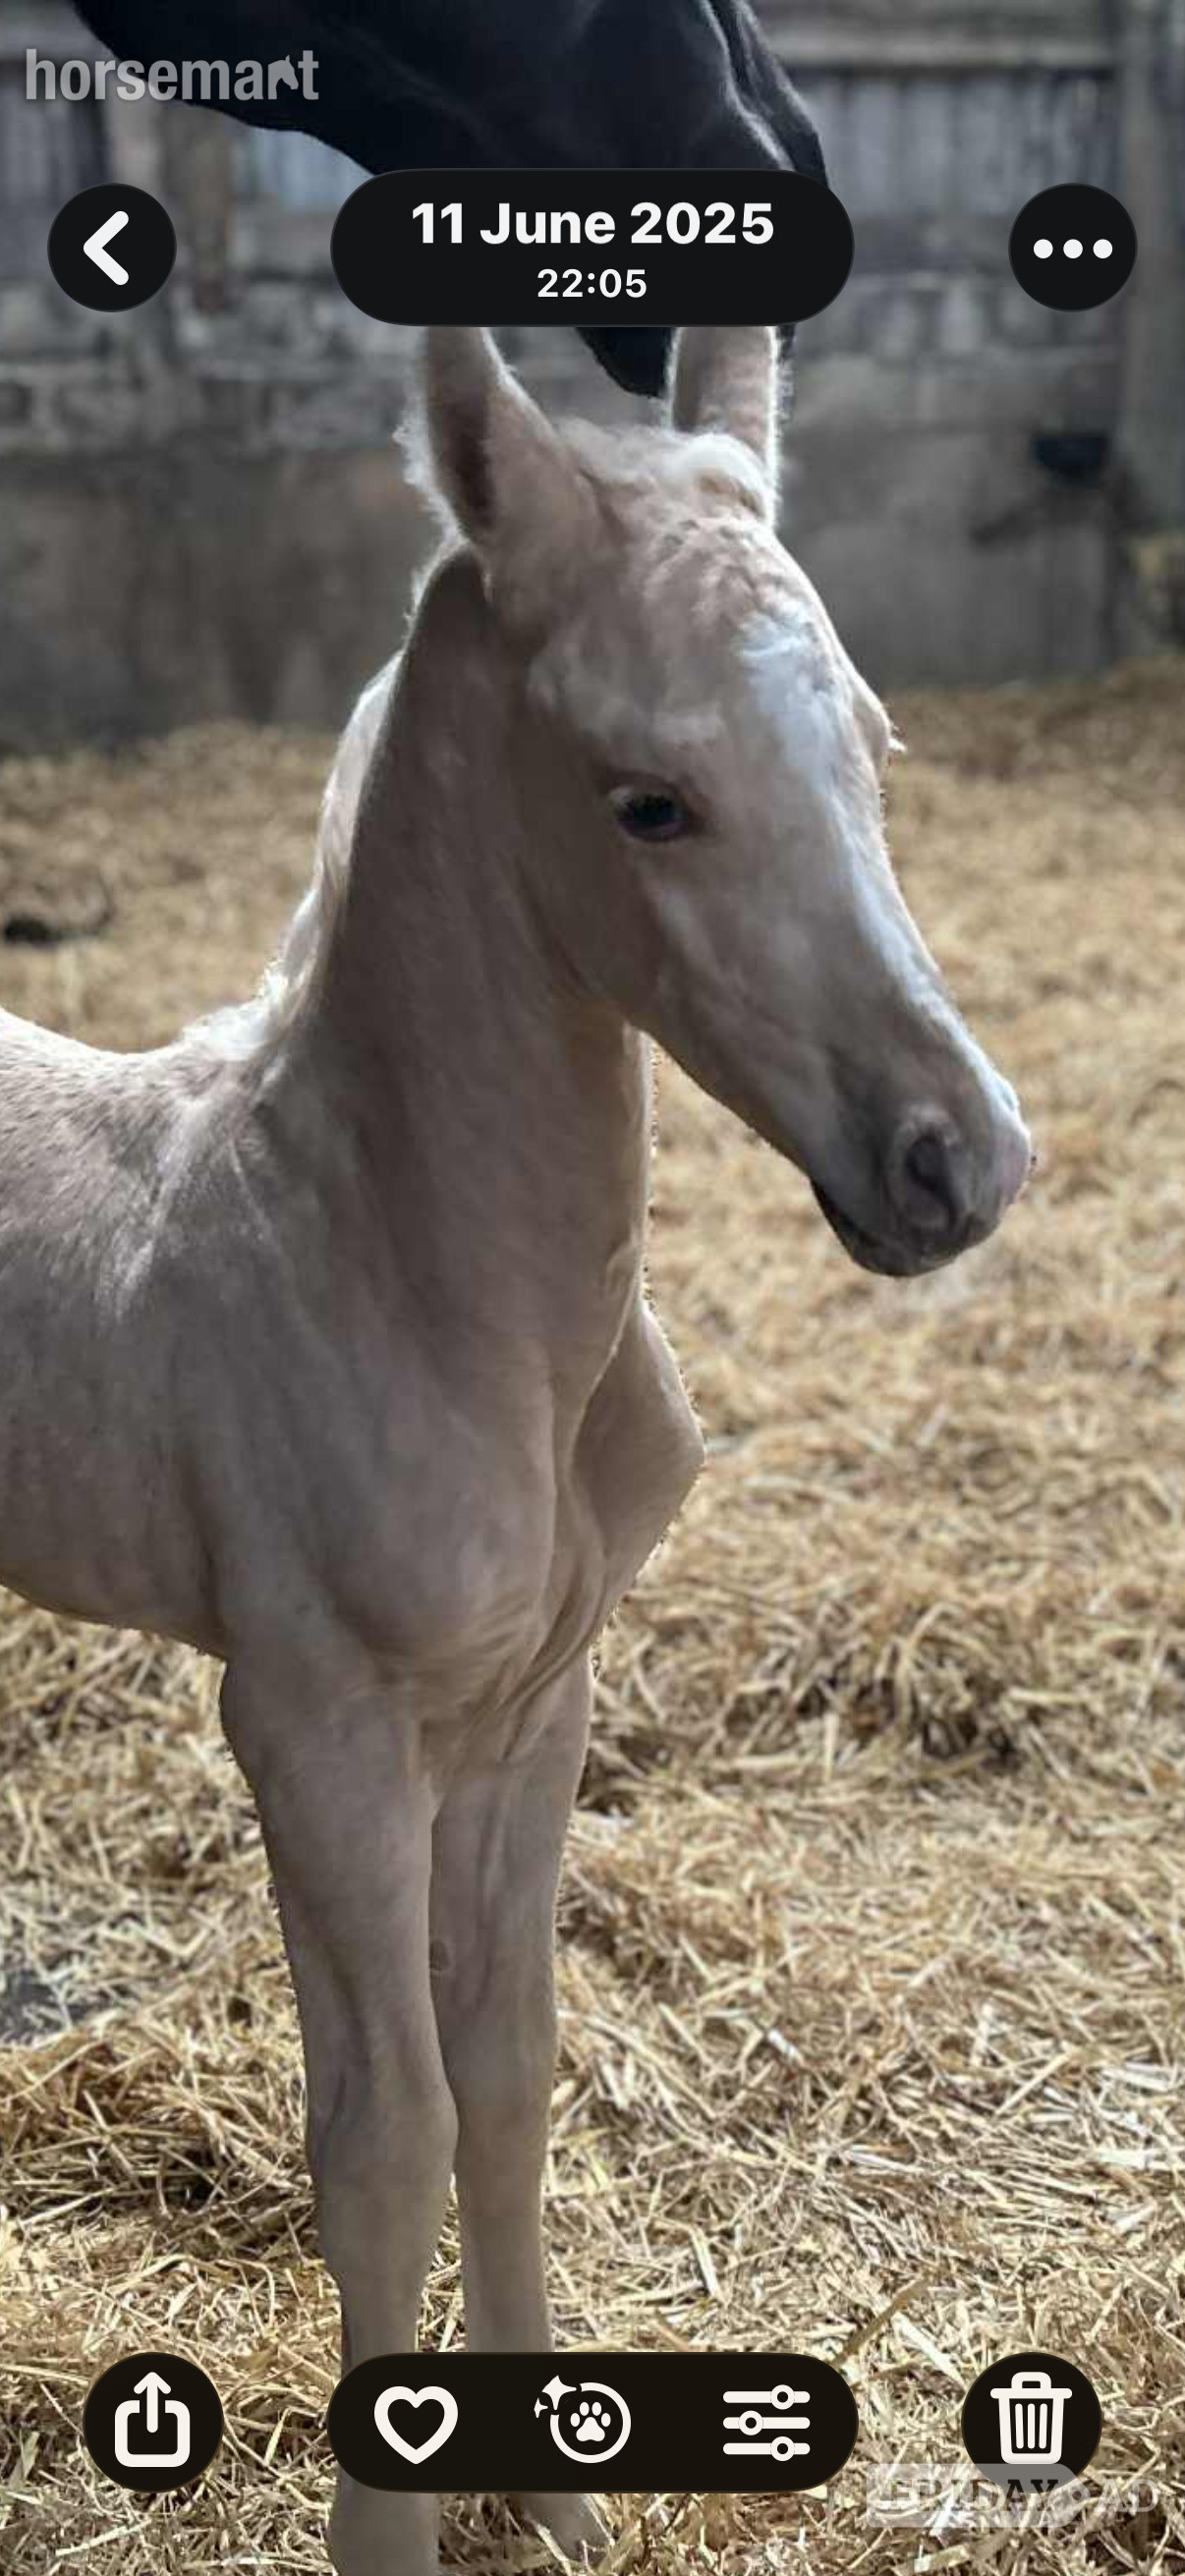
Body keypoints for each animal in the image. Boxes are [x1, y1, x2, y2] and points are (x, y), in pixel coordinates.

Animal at [0, 325, 1031, 2572]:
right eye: (651, 799)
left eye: (877, 746)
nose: (960, 1161)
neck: (409, 1269)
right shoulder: (313, 1724)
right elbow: (377, 2134)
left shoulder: (530, 1708)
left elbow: (505, 2067)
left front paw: (548, 2495)